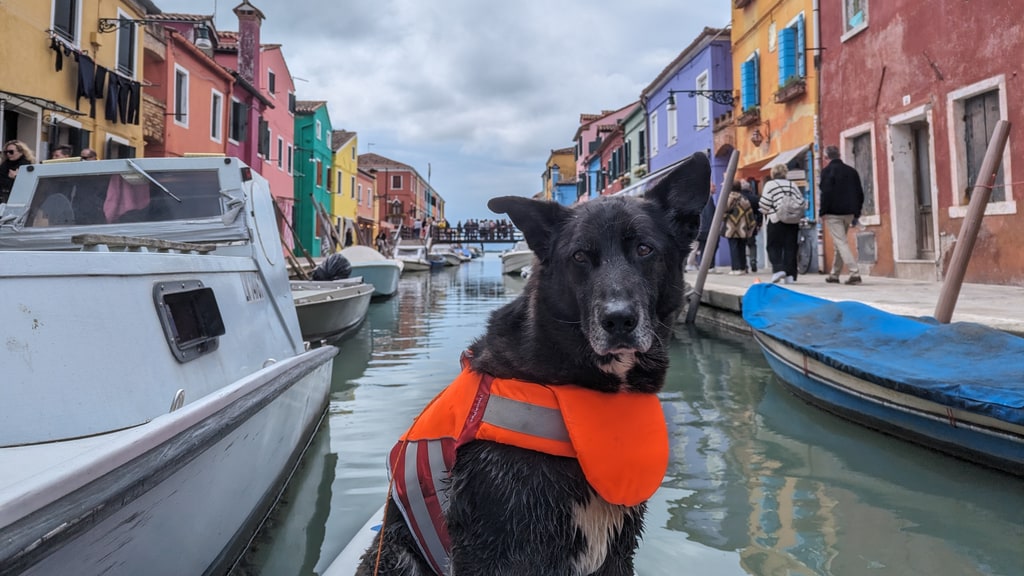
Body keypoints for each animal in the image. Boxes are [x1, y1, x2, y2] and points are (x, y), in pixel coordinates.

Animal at [360, 150, 712, 569]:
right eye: (580, 255)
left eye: (645, 249)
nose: (618, 320)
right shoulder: (491, 547)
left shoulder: (618, 549)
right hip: (398, 556)